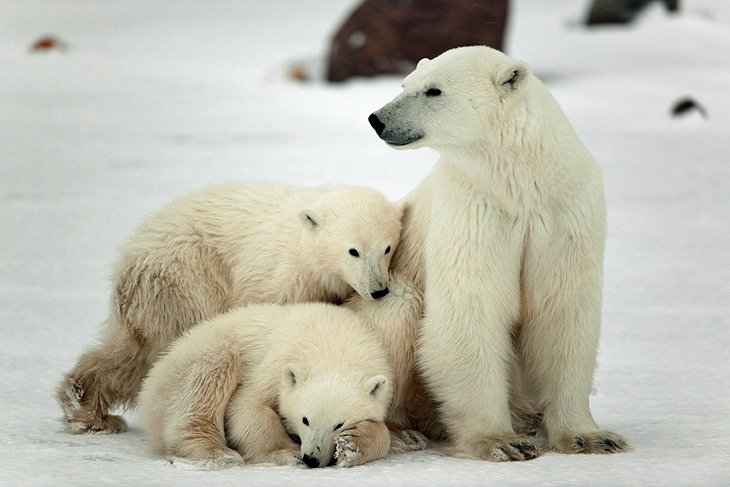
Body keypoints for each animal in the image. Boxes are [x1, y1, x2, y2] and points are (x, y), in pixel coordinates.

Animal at [57, 182, 404, 434]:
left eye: (387, 247)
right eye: (353, 250)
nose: (378, 289)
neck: (303, 248)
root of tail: (127, 256)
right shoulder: (273, 278)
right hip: (184, 278)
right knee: (151, 350)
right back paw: (88, 409)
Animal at [139, 304, 396, 468]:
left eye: (339, 424)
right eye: (305, 419)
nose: (311, 459)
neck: (333, 343)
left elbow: (383, 430)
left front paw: (352, 446)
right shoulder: (275, 362)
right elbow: (248, 406)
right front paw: (285, 453)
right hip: (191, 364)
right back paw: (219, 454)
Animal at [366, 45, 628, 462]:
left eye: (433, 90)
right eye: (405, 84)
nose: (377, 119)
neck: (519, 182)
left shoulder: (563, 212)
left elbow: (561, 309)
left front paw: (590, 437)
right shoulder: (474, 210)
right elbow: (473, 308)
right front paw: (502, 441)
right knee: (398, 309)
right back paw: (400, 432)